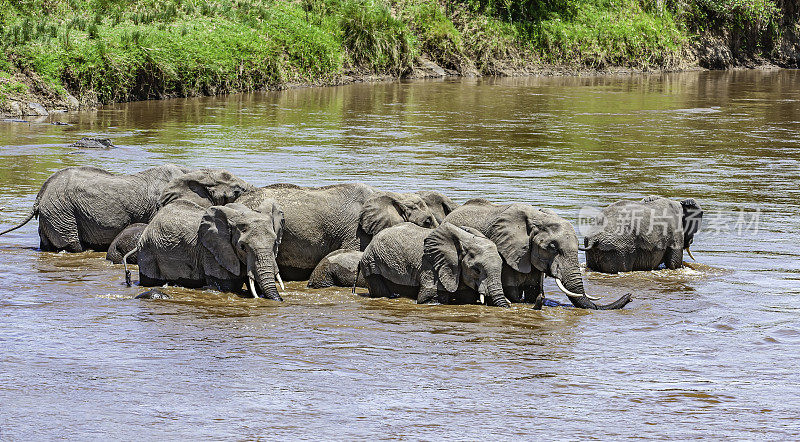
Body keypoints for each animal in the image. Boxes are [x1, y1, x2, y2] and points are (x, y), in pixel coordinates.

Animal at [126, 201, 286, 300]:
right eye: (242, 247)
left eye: (274, 244)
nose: (281, 299)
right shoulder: (211, 252)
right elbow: (228, 286)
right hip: (148, 251)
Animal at [444, 199, 632, 310]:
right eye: (552, 248)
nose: (630, 296)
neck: (538, 218)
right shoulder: (506, 252)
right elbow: (511, 290)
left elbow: (532, 288)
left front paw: (536, 299)